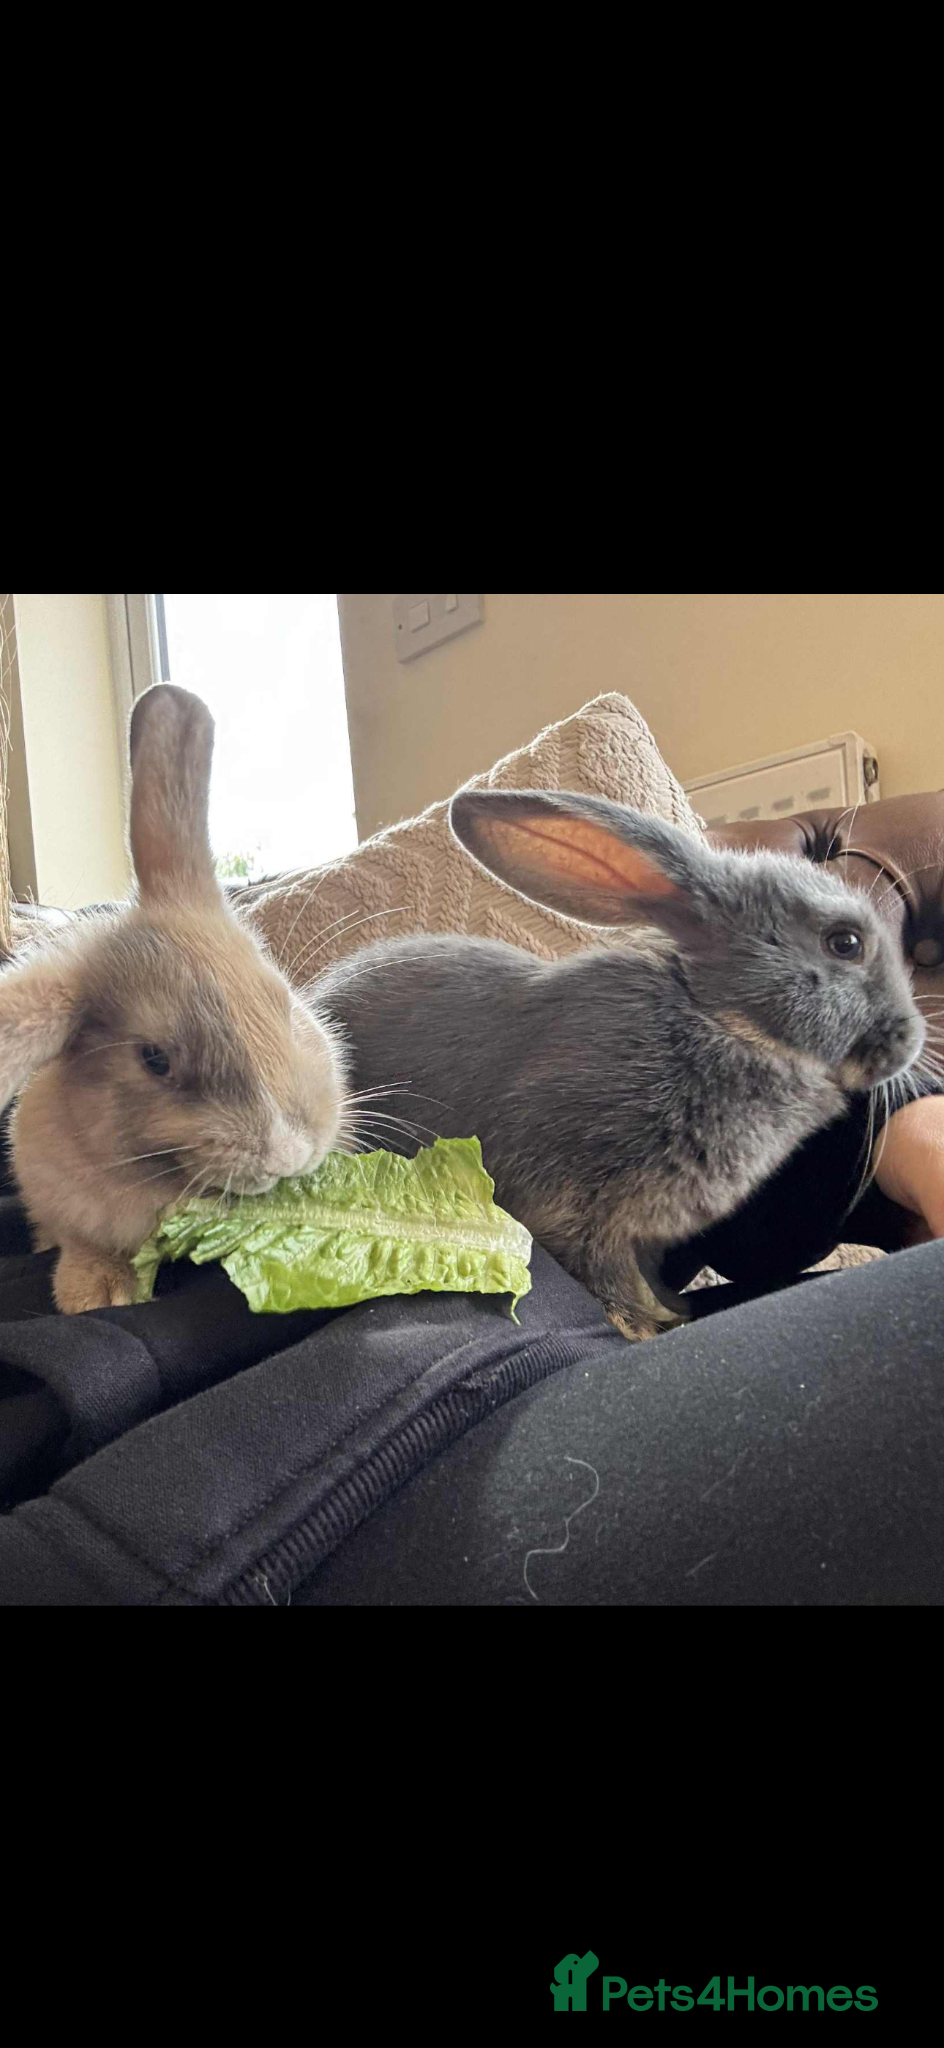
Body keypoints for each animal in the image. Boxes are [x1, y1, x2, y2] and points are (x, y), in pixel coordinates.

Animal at [316, 789, 926, 1339]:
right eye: (845, 943)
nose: (910, 1040)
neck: (722, 1020)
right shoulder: (573, 1204)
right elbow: (602, 1272)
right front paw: (642, 1325)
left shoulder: (638, 1232)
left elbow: (642, 1271)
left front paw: (668, 1308)